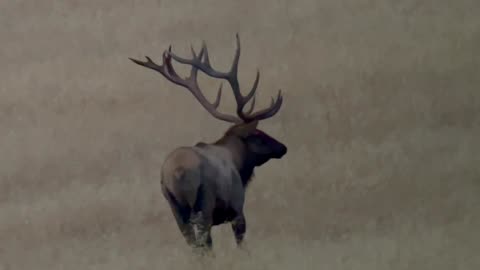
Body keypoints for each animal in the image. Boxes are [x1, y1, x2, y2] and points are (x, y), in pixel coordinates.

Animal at [127, 34, 286, 255]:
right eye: (259, 134)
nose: (283, 147)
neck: (238, 163)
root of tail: (177, 172)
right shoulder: (237, 208)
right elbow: (241, 244)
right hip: (204, 203)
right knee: (205, 245)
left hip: (174, 206)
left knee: (193, 244)